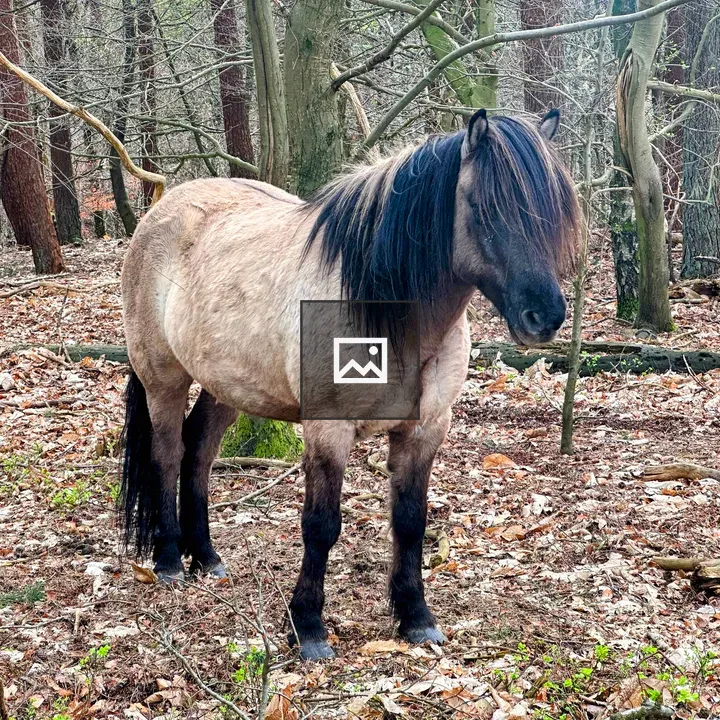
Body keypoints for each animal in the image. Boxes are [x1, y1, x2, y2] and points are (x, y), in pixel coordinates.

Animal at [119, 108, 579, 661]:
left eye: (555, 211)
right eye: (484, 208)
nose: (545, 317)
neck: (382, 310)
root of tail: (161, 212)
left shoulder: (424, 431)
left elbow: (410, 521)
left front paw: (415, 618)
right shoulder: (328, 432)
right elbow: (321, 526)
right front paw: (309, 627)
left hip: (226, 386)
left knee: (199, 455)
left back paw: (206, 558)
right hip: (163, 379)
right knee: (167, 454)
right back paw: (169, 561)